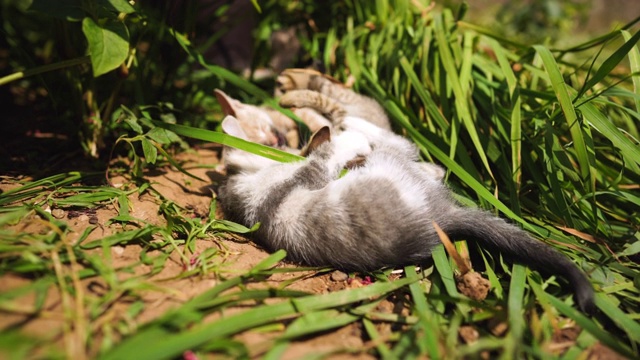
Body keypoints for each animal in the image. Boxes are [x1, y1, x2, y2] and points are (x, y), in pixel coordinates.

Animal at [219, 114, 596, 312]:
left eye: (280, 138)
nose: (291, 141)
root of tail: (444, 215)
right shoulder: (300, 181)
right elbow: (323, 160)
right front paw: (341, 140)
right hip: (389, 165)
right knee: (403, 146)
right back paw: (355, 126)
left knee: (425, 162)